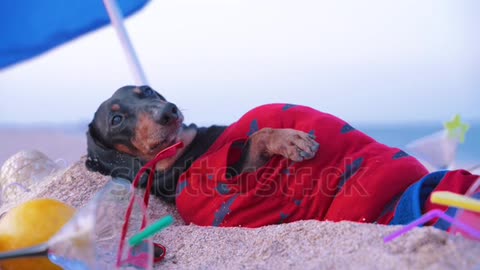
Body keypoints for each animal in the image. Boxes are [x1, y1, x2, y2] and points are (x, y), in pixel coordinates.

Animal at [86, 85, 318, 201]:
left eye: (147, 91)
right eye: (116, 119)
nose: (169, 111)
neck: (181, 149)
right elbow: (257, 137)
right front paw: (289, 140)